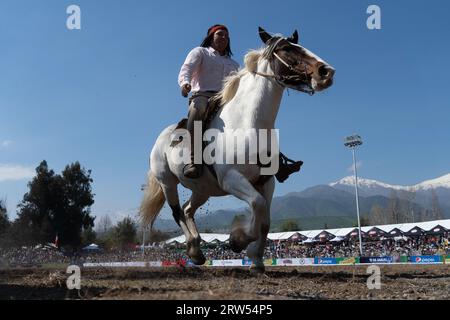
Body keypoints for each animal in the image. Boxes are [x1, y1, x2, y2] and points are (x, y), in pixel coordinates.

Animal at [141, 27, 334, 272]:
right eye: (286, 49)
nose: (326, 71)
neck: (247, 124)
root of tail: (161, 138)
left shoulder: (266, 182)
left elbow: (265, 221)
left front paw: (257, 261)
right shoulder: (231, 179)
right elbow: (257, 206)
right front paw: (238, 240)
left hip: (202, 189)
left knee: (187, 210)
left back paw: (196, 251)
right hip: (167, 182)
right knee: (177, 212)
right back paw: (194, 249)